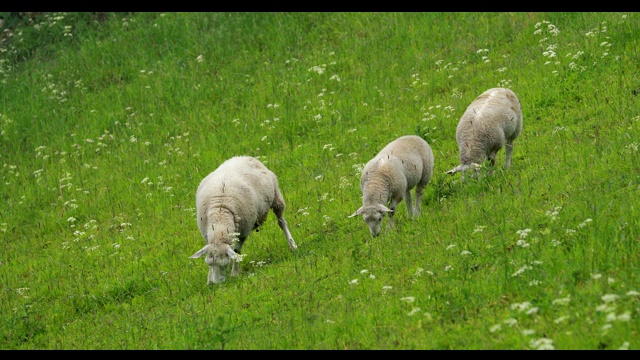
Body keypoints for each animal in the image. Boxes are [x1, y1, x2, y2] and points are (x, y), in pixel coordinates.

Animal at [190, 156, 298, 286]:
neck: (220, 216)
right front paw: (209, 279)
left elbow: (237, 252)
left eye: (224, 264)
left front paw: (235, 273)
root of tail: (243, 157)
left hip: (276, 198)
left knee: (282, 223)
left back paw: (292, 245)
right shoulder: (208, 236)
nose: (217, 284)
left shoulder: (243, 232)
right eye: (209, 263)